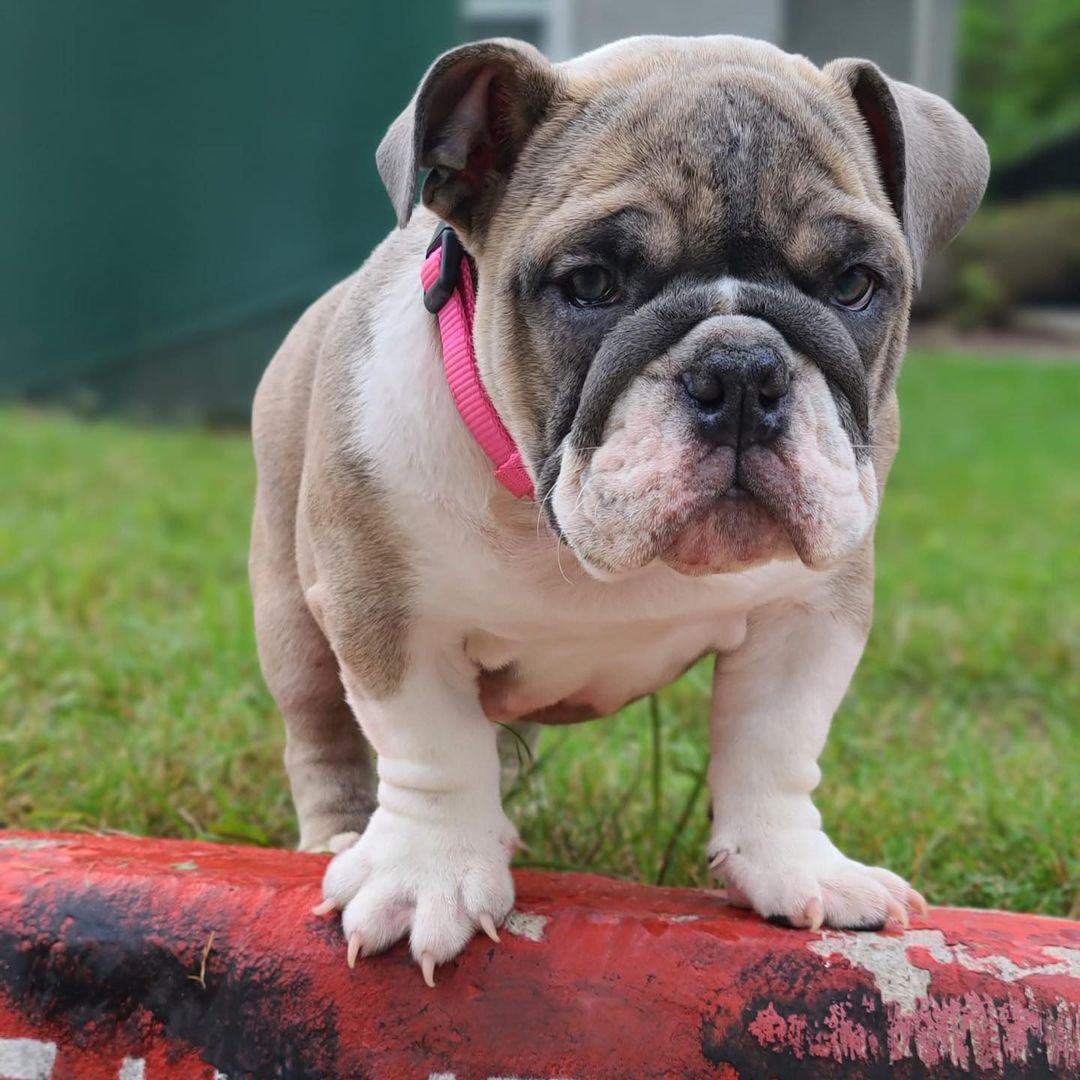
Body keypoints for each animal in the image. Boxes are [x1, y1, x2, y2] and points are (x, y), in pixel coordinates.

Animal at [247, 33, 989, 984]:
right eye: (592, 283)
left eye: (855, 284)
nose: (741, 370)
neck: (548, 516)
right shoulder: (382, 610)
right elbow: (430, 747)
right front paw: (427, 876)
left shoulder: (808, 612)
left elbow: (776, 744)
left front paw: (795, 867)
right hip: (293, 620)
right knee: (325, 737)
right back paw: (341, 839)